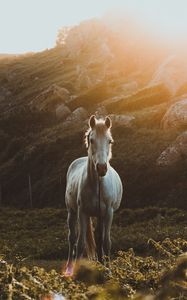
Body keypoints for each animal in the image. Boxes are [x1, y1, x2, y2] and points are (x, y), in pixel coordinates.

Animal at [64, 116, 122, 276]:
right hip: (72, 212)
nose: (101, 168)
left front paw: (108, 270)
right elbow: (80, 243)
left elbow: (106, 242)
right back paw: (69, 268)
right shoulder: (82, 213)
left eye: (110, 141)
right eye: (91, 140)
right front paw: (76, 273)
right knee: (72, 239)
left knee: (98, 237)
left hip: (99, 215)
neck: (97, 185)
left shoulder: (108, 213)